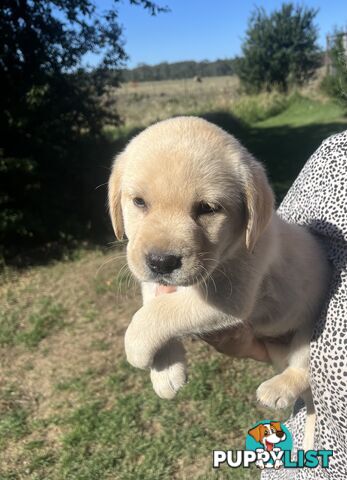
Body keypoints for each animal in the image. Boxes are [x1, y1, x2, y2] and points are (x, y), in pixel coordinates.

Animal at [109, 116, 332, 450]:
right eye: (139, 202)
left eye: (208, 208)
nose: (162, 262)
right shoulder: (150, 277)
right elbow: (154, 305)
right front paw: (165, 371)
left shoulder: (228, 297)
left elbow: (160, 313)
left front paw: (136, 347)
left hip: (311, 332)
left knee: (303, 371)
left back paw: (277, 389)